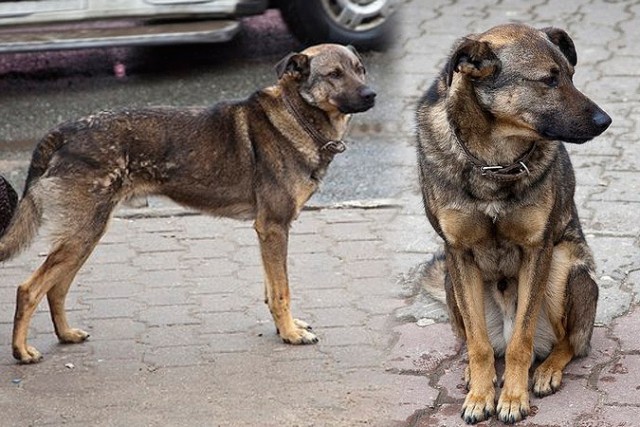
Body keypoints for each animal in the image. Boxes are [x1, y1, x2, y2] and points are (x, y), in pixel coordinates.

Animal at [0, 42, 376, 364]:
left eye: (360, 69)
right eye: (334, 74)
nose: (372, 94)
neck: (296, 115)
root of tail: (66, 130)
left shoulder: (267, 233)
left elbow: (271, 290)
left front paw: (285, 327)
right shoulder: (273, 228)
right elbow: (282, 291)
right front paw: (290, 334)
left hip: (85, 236)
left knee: (56, 289)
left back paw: (66, 334)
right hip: (82, 236)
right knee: (28, 289)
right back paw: (22, 352)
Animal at [418, 25, 612, 426]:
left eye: (571, 75)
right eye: (548, 80)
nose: (606, 121)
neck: (494, 161)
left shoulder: (537, 250)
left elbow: (521, 344)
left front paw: (512, 398)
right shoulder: (458, 252)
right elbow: (477, 344)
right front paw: (480, 396)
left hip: (562, 266)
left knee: (567, 343)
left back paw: (547, 369)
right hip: (450, 280)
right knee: (479, 344)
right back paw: (475, 371)